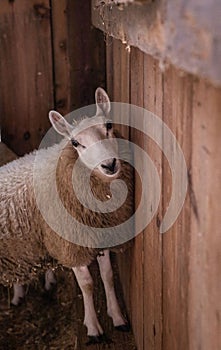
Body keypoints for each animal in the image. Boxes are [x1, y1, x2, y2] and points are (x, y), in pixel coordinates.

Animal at [0, 88, 133, 344]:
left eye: (109, 125)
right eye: (75, 143)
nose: (109, 164)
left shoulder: (100, 234)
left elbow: (108, 275)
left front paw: (117, 317)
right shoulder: (69, 243)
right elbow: (88, 284)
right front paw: (93, 327)